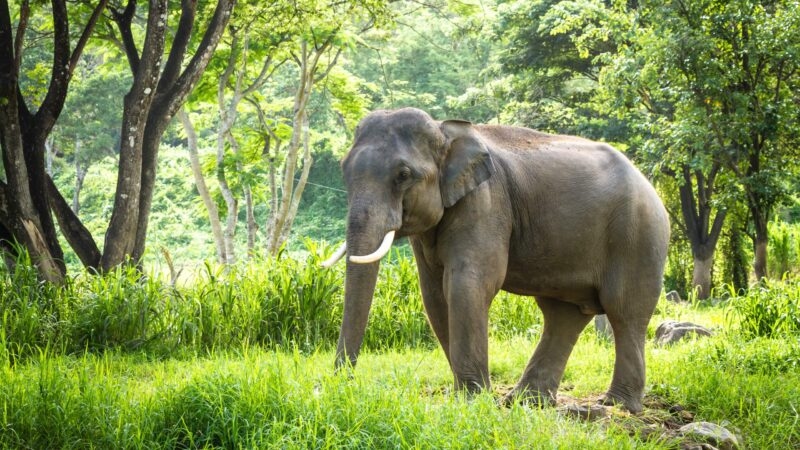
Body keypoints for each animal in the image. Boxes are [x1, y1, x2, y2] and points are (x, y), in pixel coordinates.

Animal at [322, 107, 669, 413]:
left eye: (403, 175)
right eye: (342, 168)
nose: (342, 385)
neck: (444, 129)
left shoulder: (486, 202)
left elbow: (467, 284)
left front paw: (473, 400)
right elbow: (434, 295)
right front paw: (471, 395)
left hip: (638, 237)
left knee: (624, 311)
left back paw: (617, 405)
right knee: (563, 315)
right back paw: (525, 401)